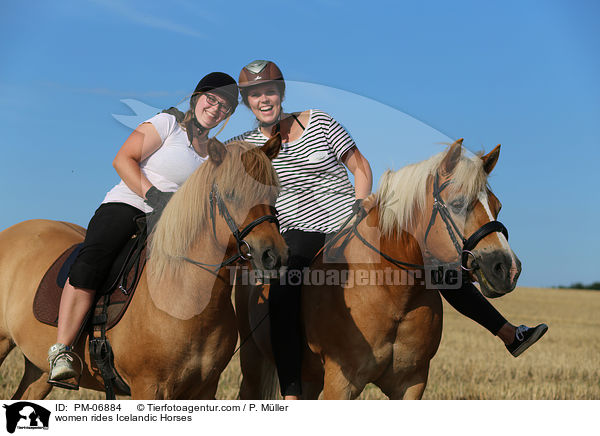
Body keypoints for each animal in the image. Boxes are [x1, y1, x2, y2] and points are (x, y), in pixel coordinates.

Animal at [0, 135, 288, 398]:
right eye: (231, 194)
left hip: (38, 369)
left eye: (274, 193)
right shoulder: (148, 386)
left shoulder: (205, 388)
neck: (184, 297)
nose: (274, 256)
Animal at [234, 140, 520, 398]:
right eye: (458, 204)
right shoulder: (340, 383)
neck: (391, 292)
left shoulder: (411, 384)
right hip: (253, 364)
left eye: (497, 206)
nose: (506, 268)